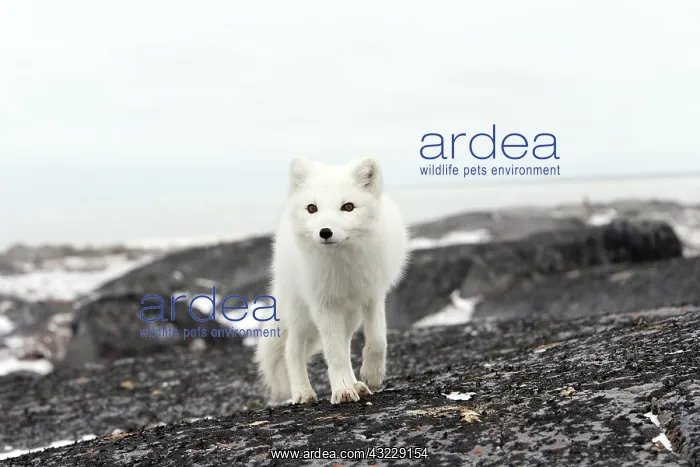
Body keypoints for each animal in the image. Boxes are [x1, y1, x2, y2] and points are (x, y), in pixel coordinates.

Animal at [254, 156, 410, 405]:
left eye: (348, 206)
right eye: (312, 208)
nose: (325, 232)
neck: (343, 267)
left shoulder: (372, 295)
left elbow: (377, 339)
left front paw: (372, 375)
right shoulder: (323, 305)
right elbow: (334, 355)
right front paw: (342, 390)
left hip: (351, 316)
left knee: (345, 344)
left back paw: (357, 384)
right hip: (301, 313)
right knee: (292, 349)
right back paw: (302, 392)